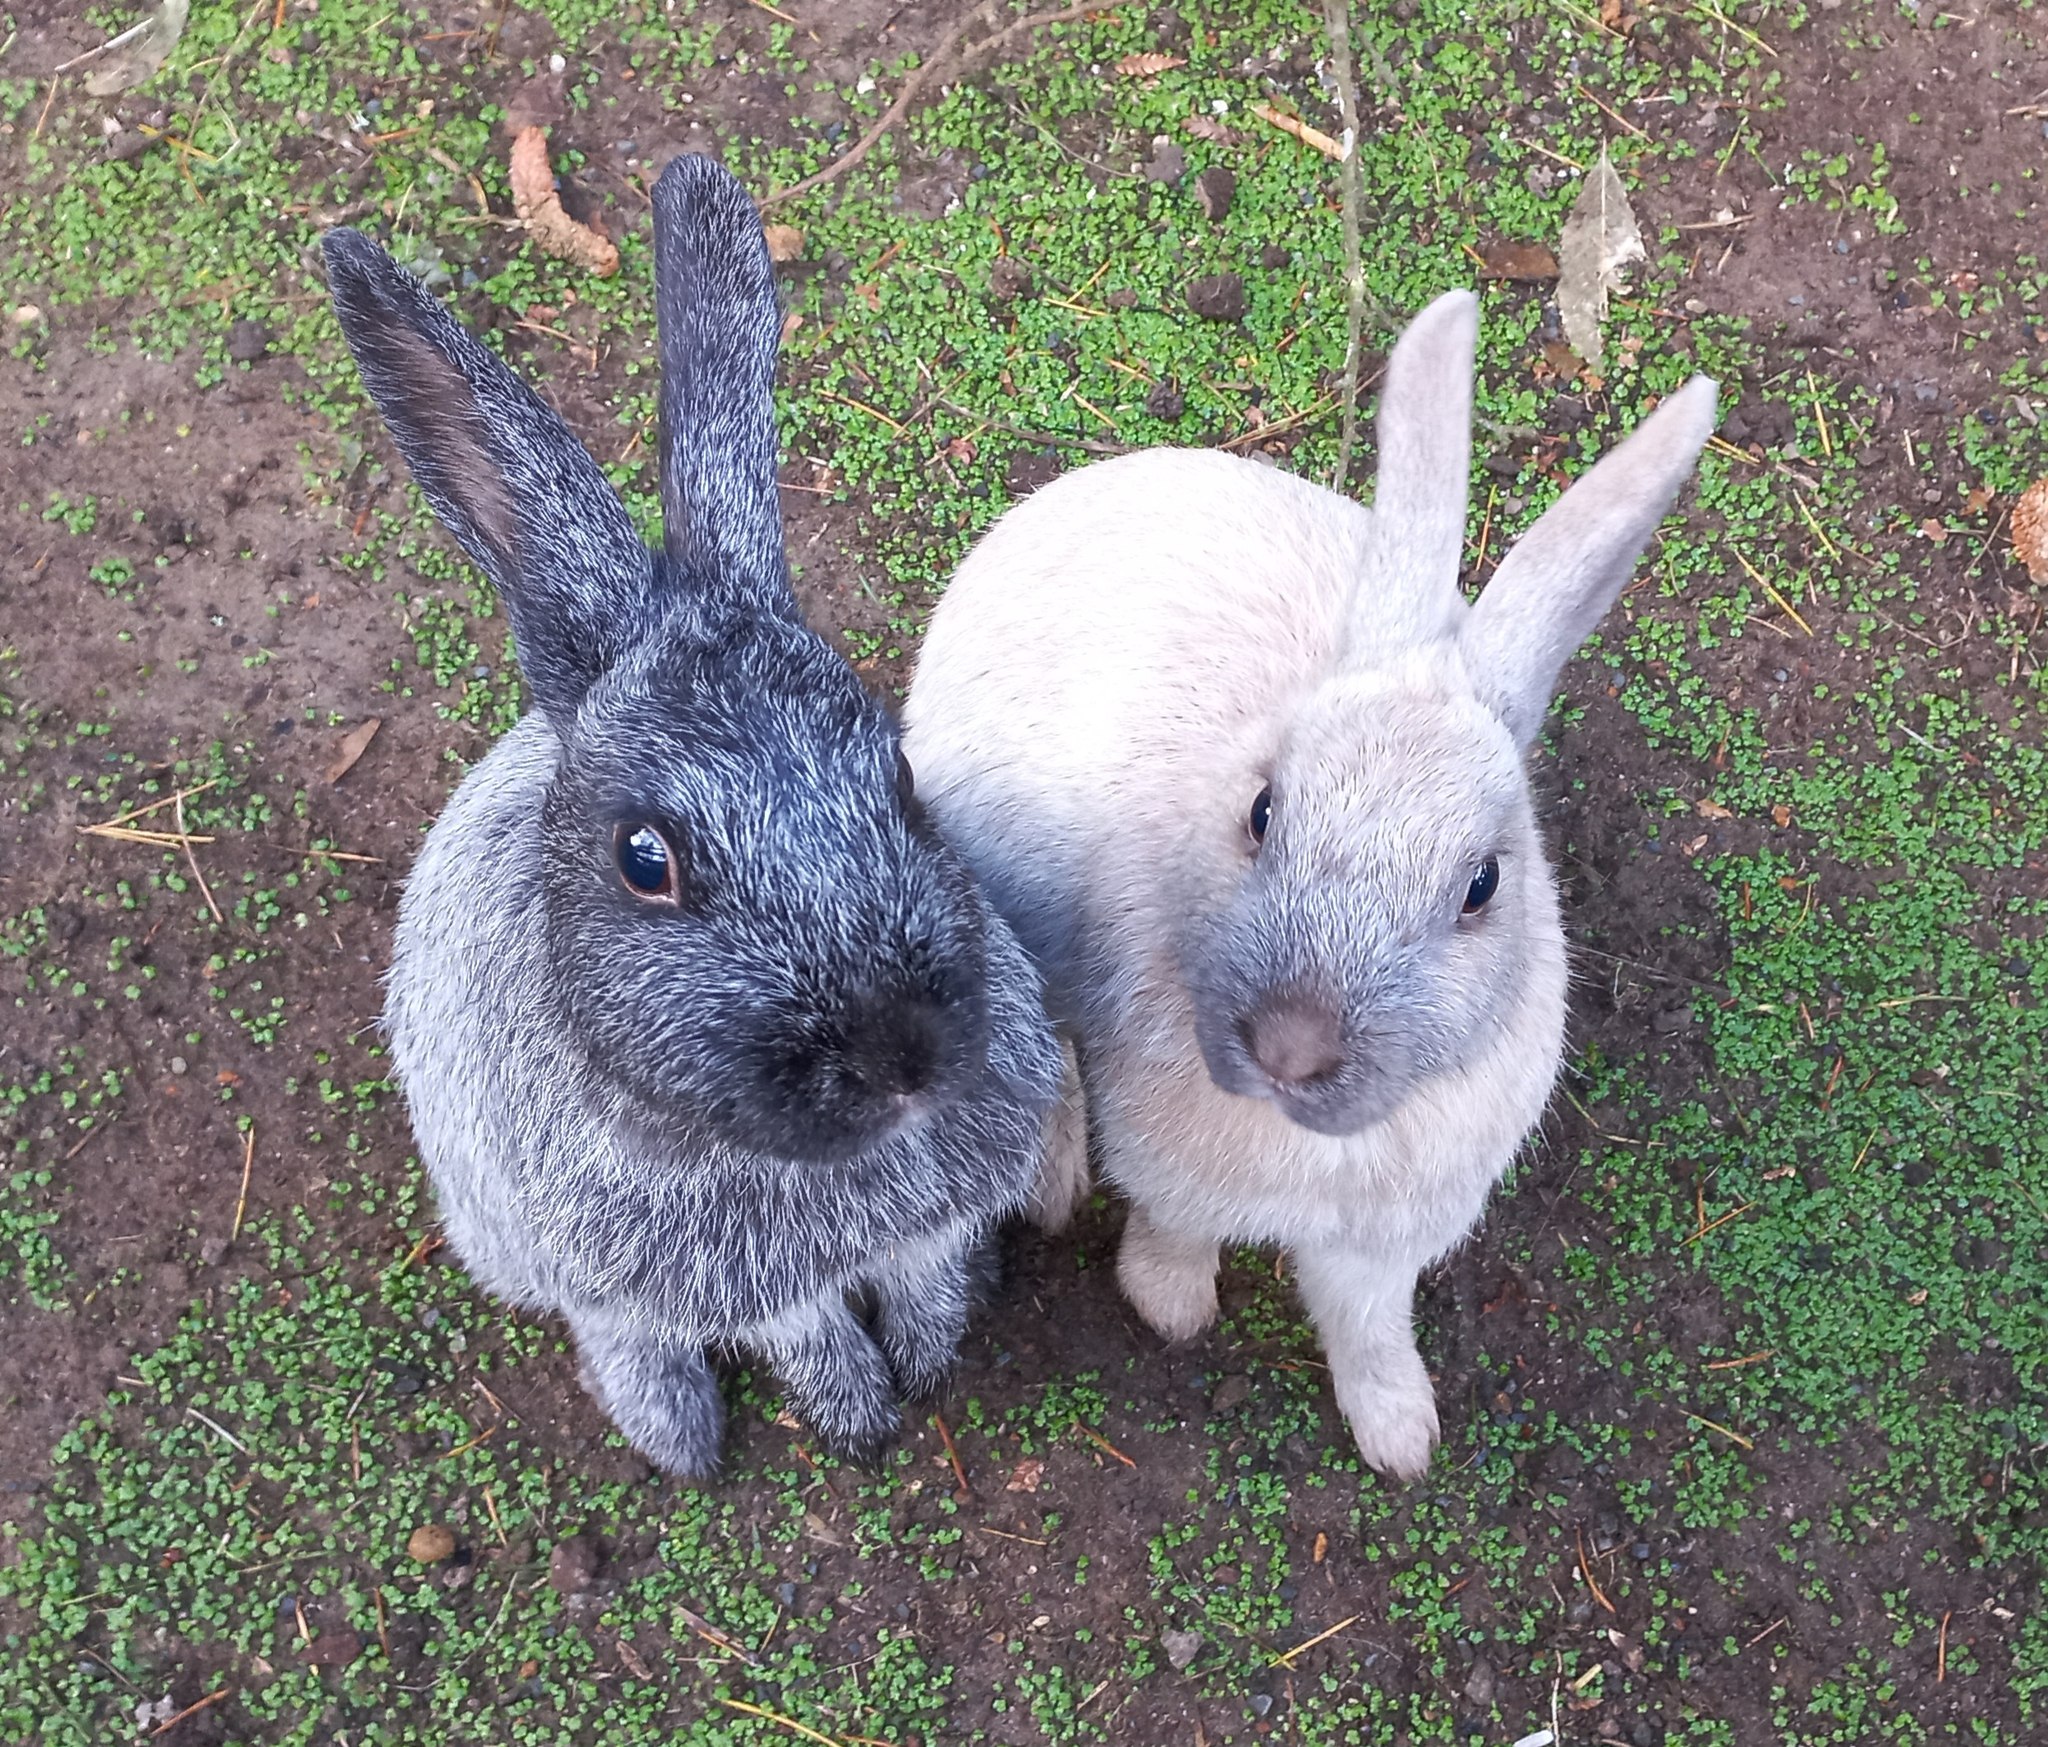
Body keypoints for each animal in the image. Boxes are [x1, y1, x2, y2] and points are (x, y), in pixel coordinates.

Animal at [323, 152, 1065, 1477]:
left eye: (901, 779)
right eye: (643, 860)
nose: (902, 1059)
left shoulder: (929, 1222)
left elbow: (925, 1278)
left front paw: (931, 1357)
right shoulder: (741, 1286)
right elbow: (806, 1336)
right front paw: (861, 1418)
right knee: (608, 1328)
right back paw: (675, 1432)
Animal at [901, 290, 1717, 1479]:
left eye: (1482, 884)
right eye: (1261, 810)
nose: (1291, 1047)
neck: (1318, 1148)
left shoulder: (1381, 1247)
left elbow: (1369, 1328)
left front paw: (1401, 1437)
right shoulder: (1176, 1172)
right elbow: (1173, 1235)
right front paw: (1173, 1310)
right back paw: (1051, 1182)